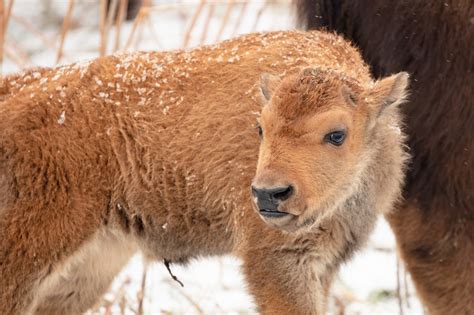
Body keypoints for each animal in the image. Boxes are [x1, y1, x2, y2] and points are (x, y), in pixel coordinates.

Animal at [0, 30, 408, 314]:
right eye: (260, 128)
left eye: (337, 134)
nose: (269, 194)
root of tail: (16, 87)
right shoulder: (277, 261)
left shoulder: (320, 264)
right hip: (29, 250)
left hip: (91, 265)